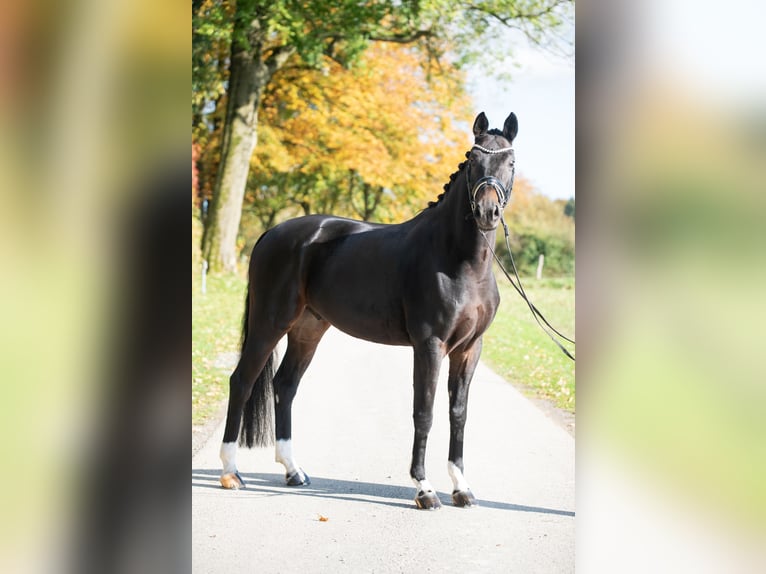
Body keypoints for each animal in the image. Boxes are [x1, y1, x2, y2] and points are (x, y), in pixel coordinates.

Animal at [220, 110, 520, 510]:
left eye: (511, 163)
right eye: (473, 160)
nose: (488, 212)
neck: (460, 261)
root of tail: (271, 234)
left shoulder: (470, 349)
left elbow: (459, 413)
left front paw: (461, 487)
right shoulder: (430, 345)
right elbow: (424, 412)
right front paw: (425, 489)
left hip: (307, 330)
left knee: (285, 385)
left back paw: (294, 471)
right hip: (269, 323)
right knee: (243, 381)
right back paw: (231, 473)